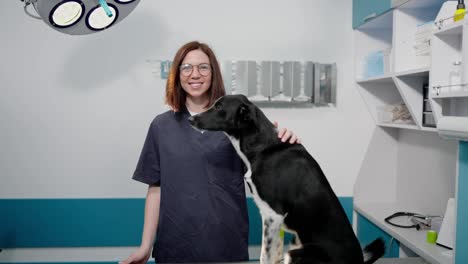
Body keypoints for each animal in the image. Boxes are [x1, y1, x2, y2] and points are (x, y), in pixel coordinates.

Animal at [188, 95, 386, 264]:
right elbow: (272, 254)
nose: (191, 119)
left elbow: (264, 256)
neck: (262, 146)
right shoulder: (272, 220)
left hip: (299, 252)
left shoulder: (273, 215)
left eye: (219, 107)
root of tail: (359, 260)